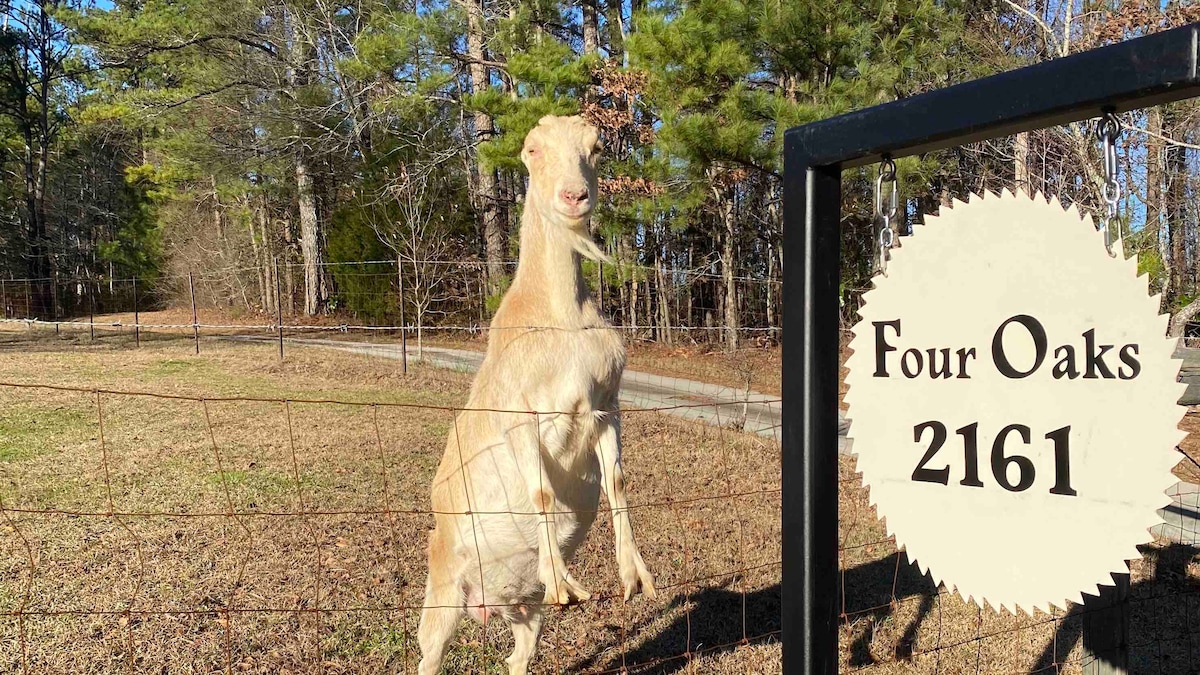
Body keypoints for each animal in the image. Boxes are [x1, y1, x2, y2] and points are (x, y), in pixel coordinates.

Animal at [415, 115, 657, 672]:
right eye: (531, 150)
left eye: (596, 147)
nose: (575, 196)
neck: (561, 318)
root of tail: (488, 603)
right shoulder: (520, 413)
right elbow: (543, 490)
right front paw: (565, 581)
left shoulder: (606, 406)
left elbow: (617, 481)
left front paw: (634, 577)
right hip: (441, 593)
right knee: (428, 656)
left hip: (526, 614)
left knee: (516, 659)